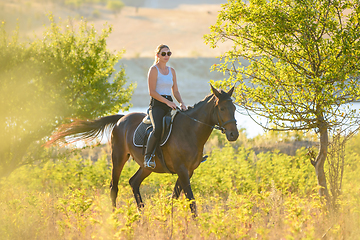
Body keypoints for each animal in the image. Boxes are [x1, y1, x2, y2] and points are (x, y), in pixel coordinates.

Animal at [47, 85, 239, 217]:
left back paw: (142, 214)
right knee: (114, 187)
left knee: (134, 182)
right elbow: (190, 200)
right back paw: (115, 217)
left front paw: (166, 219)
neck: (190, 130)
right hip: (118, 157)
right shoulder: (182, 171)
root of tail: (122, 118)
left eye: (235, 108)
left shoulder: (188, 171)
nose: (234, 134)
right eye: (222, 108)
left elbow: (174, 197)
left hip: (147, 166)